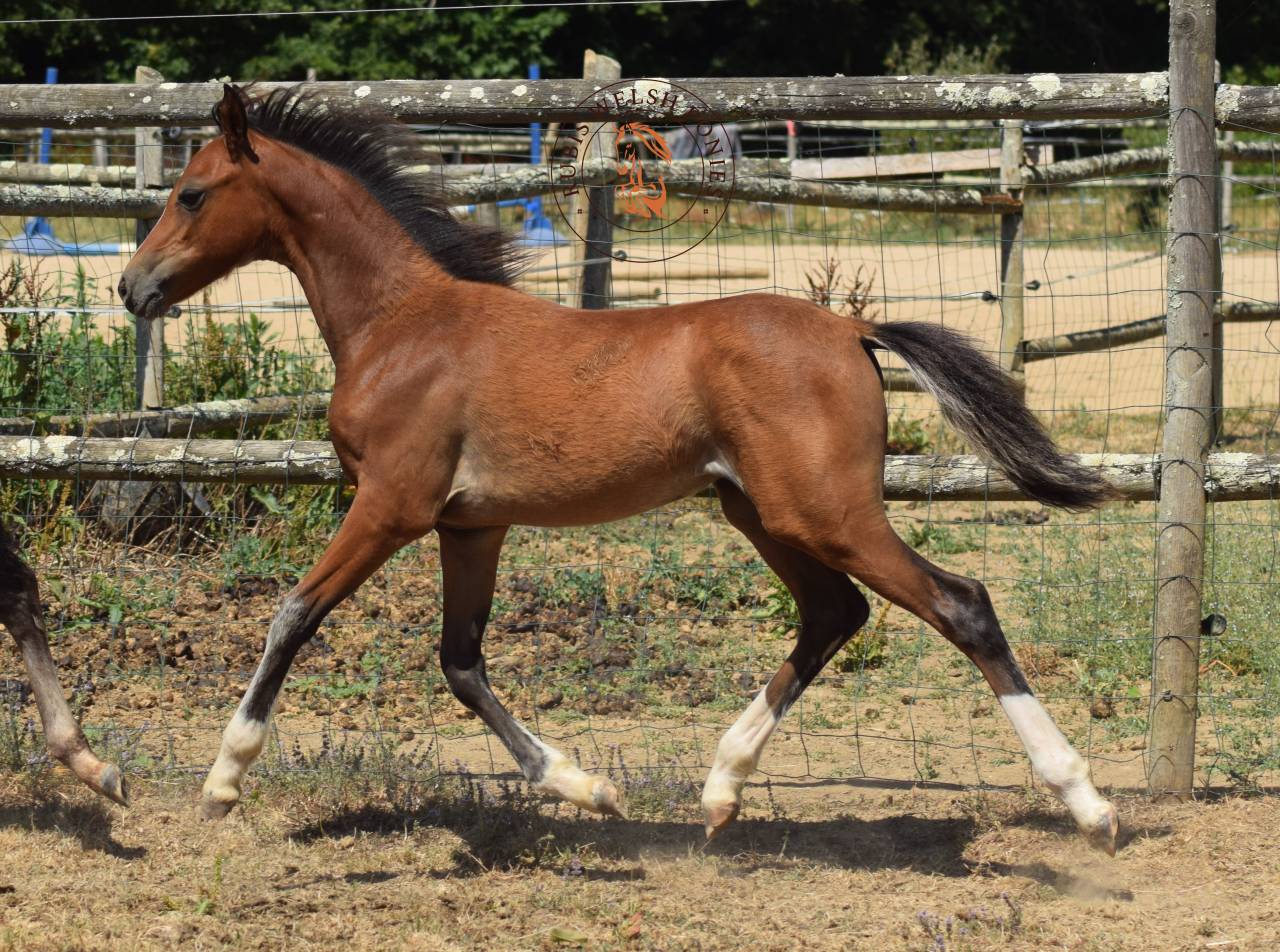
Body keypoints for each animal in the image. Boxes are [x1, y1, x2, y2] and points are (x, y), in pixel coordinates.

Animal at [118, 85, 1119, 854]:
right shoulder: (471, 524)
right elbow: (461, 662)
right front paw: (586, 787)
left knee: (961, 604)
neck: (399, 324)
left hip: (828, 513)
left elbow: (293, 614)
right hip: (760, 512)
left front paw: (223, 779)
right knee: (834, 614)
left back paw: (1089, 804)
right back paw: (720, 791)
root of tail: (850, 329)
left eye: (193, 194)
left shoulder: (392, 505)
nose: (132, 288)